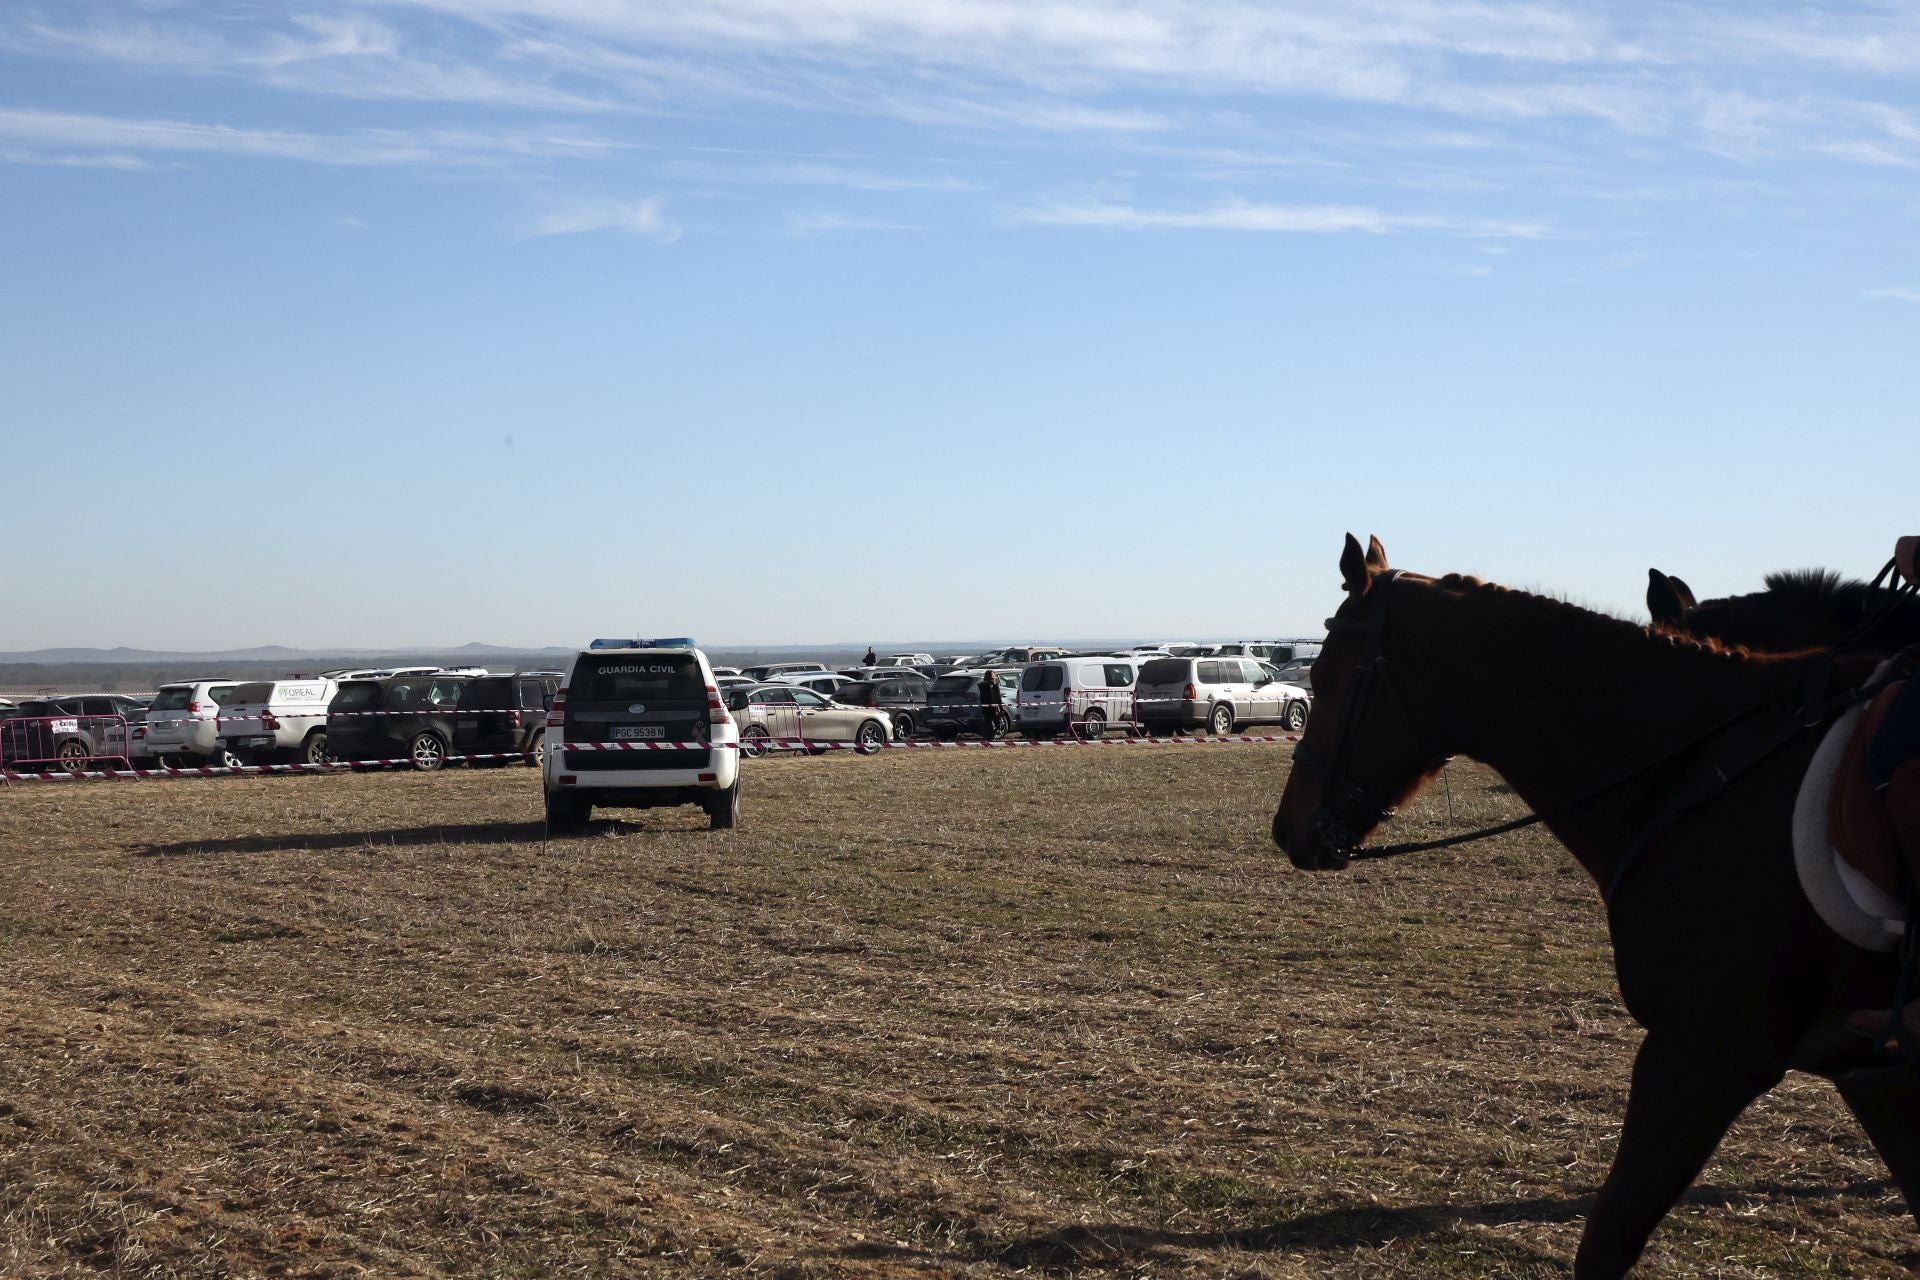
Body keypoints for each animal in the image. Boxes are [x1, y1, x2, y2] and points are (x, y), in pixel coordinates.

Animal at [1267, 537, 1912, 1280]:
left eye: (1326, 675)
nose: (1287, 829)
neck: (1698, 767)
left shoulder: (1703, 1054)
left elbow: (1606, 1241)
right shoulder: (1869, 1071)